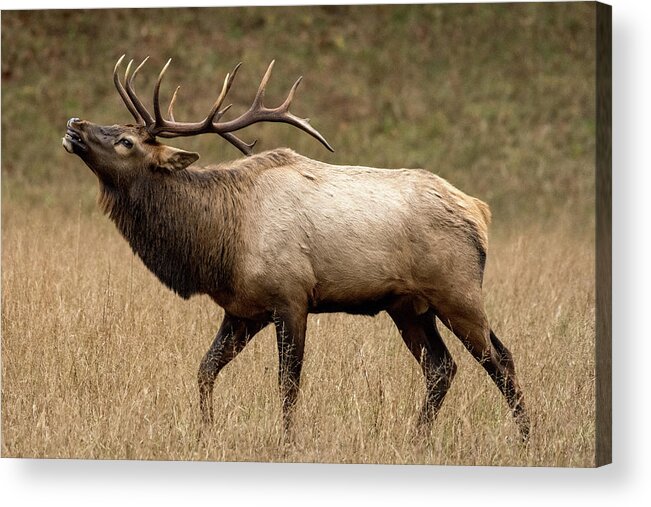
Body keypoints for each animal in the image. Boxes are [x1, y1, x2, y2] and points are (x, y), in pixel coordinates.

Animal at [62, 55, 528, 440]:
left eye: (126, 142)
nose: (74, 124)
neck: (218, 244)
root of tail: (479, 211)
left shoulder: (291, 298)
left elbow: (288, 385)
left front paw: (285, 442)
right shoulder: (242, 309)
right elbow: (204, 370)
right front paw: (204, 433)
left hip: (457, 292)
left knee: (500, 359)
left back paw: (524, 439)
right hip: (409, 307)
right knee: (441, 368)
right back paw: (417, 439)